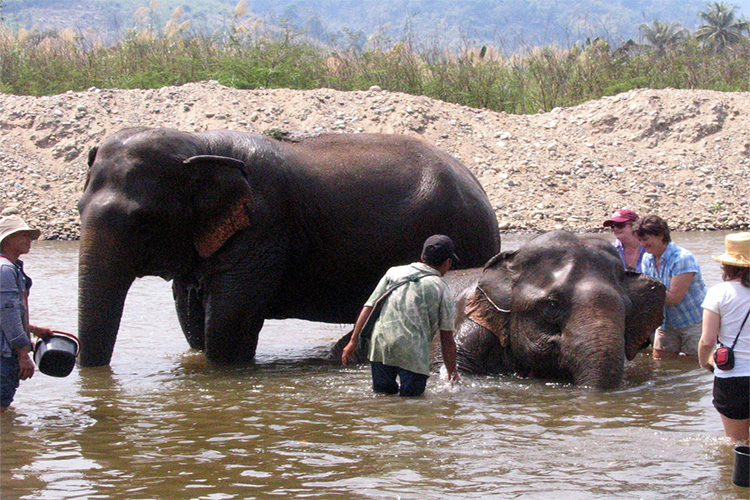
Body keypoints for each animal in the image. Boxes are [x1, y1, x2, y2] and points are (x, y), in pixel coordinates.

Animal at [76, 127, 502, 366]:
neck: (200, 144)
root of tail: (478, 184)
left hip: (467, 235)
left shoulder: (262, 230)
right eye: (78, 209)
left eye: (144, 222)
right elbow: (192, 319)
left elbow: (227, 327)